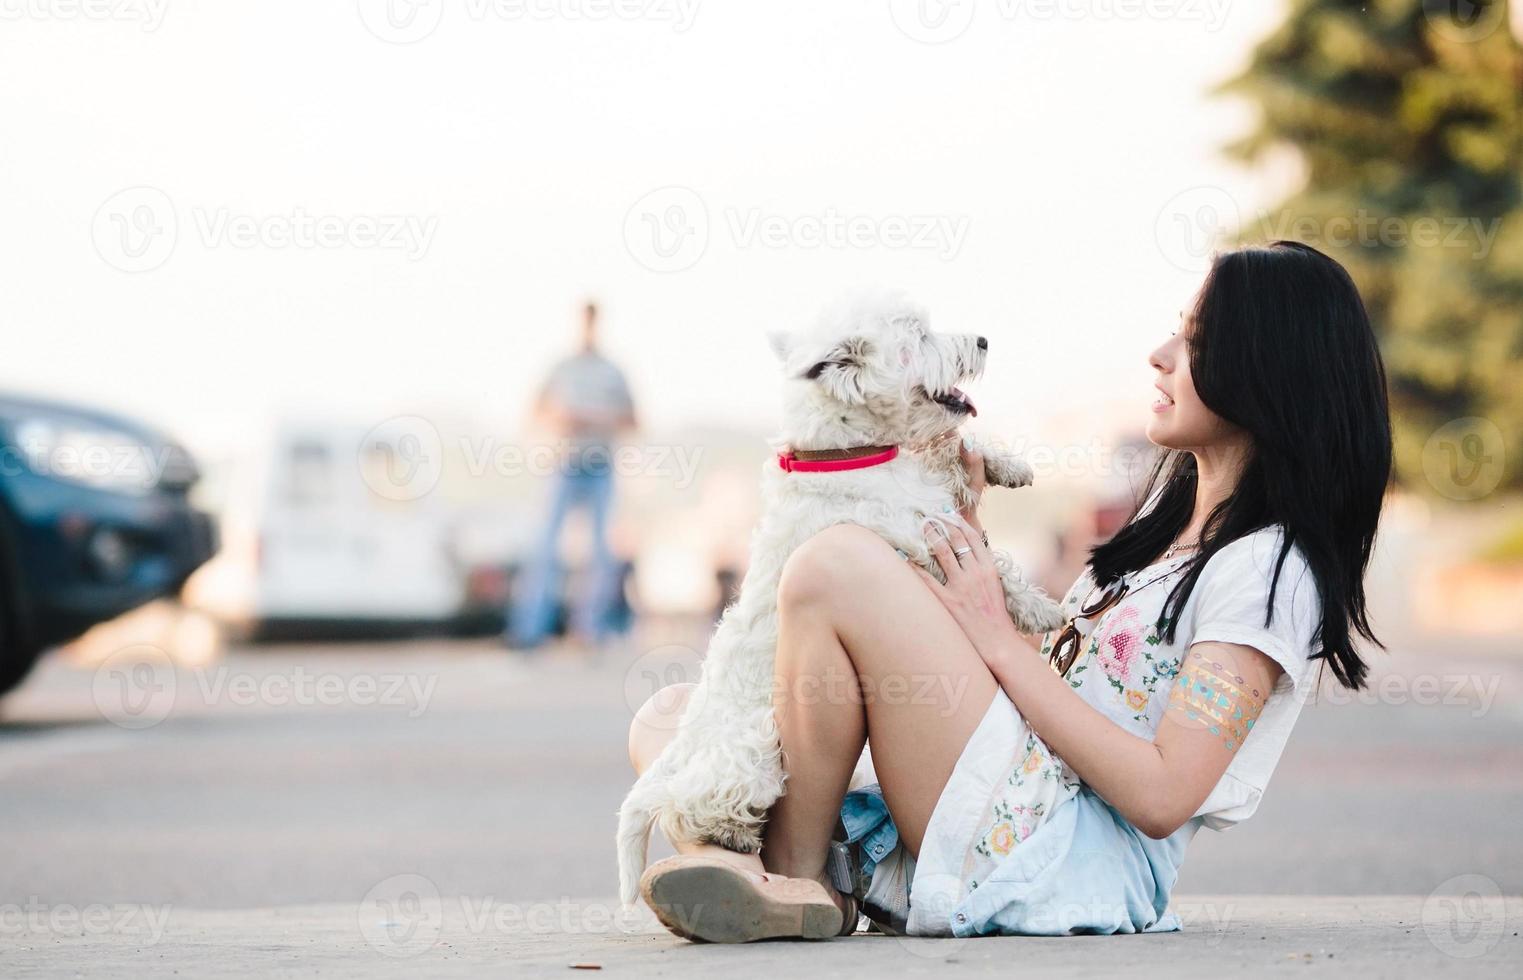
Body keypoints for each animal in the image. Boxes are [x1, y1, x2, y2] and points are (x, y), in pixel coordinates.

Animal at [609, 292, 1060, 914]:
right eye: (918, 334)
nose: (984, 340)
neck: (847, 453)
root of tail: (675, 756)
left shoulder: (928, 489)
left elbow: (951, 453)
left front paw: (1007, 465)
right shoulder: (918, 535)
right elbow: (991, 566)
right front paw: (1040, 610)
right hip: (752, 753)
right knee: (689, 809)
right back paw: (732, 834)